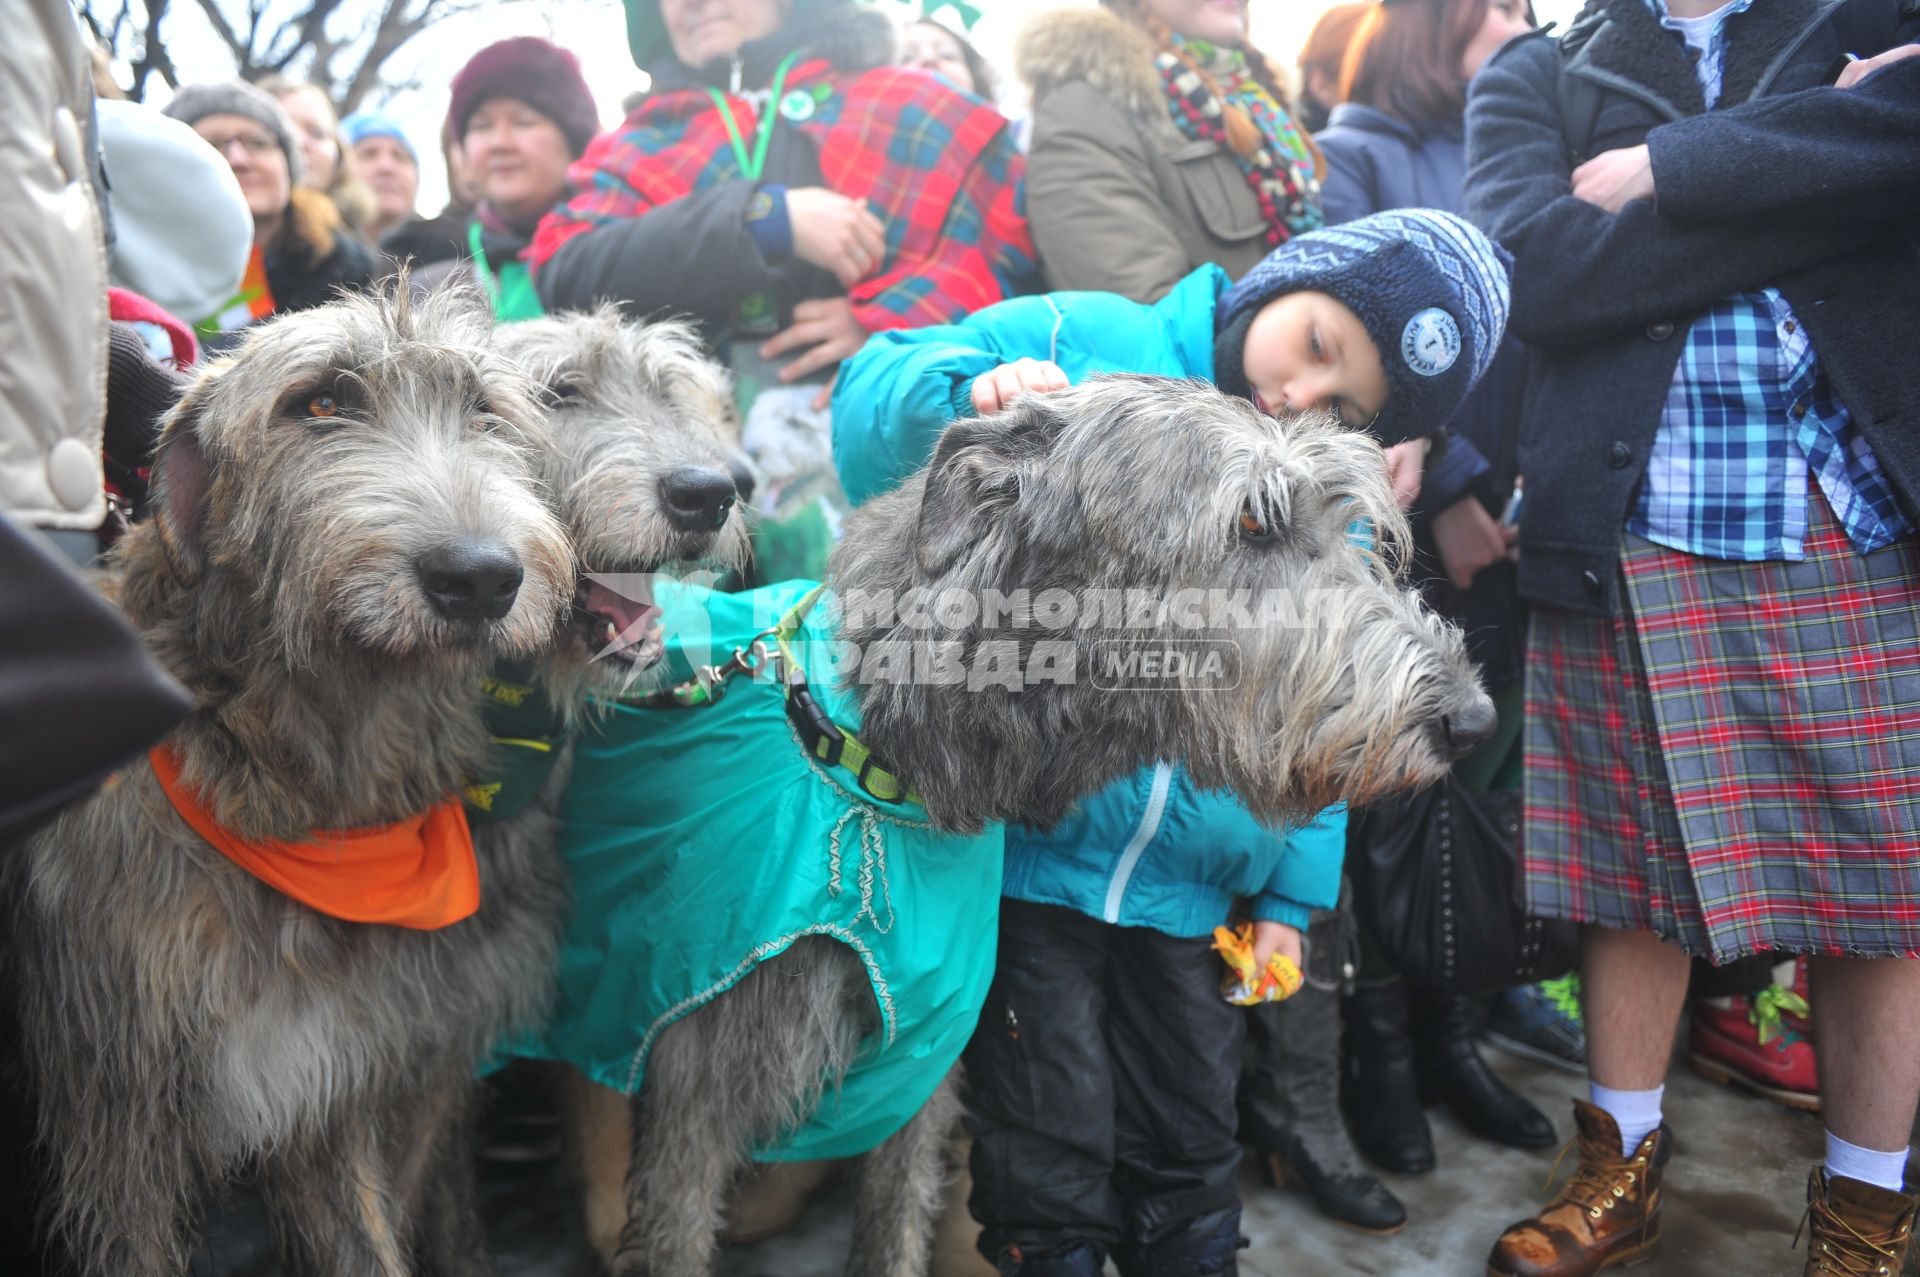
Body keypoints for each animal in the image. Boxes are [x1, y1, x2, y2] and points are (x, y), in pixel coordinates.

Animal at [568, 376, 1497, 1275]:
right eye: (1250, 520)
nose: (1473, 719)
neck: (875, 762)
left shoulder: (921, 1062)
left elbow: (896, 1221)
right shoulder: (699, 1076)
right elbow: (679, 1222)